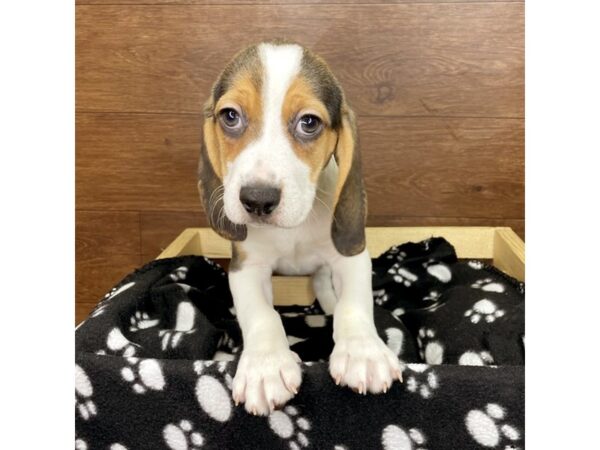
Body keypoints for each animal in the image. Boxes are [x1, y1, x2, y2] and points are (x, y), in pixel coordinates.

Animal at [198, 42, 404, 414]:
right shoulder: (246, 266)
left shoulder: (351, 258)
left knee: (324, 285)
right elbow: (262, 314)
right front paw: (265, 366)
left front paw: (363, 352)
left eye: (309, 122)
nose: (257, 200)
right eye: (230, 116)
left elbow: (354, 303)